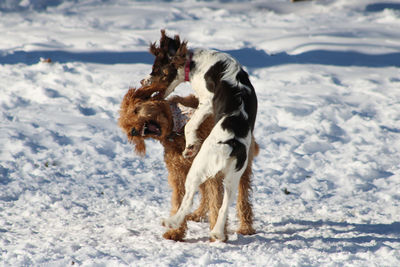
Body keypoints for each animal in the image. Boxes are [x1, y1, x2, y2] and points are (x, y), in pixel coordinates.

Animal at [117, 84, 258, 243]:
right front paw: (176, 232)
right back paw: (198, 214)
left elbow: (216, 201)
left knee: (242, 198)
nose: (134, 131)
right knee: (204, 194)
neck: (178, 130)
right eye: (128, 126)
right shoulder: (178, 173)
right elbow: (180, 201)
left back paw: (245, 227)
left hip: (240, 168)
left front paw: (216, 234)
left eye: (135, 110)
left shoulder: (212, 172)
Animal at [142, 29, 258, 243]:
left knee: (187, 199)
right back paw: (218, 232)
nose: (142, 82)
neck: (193, 62)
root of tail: (230, 144)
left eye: (156, 70)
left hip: (197, 168)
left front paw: (190, 145)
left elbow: (190, 124)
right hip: (233, 176)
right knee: (225, 205)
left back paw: (171, 222)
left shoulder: (206, 101)